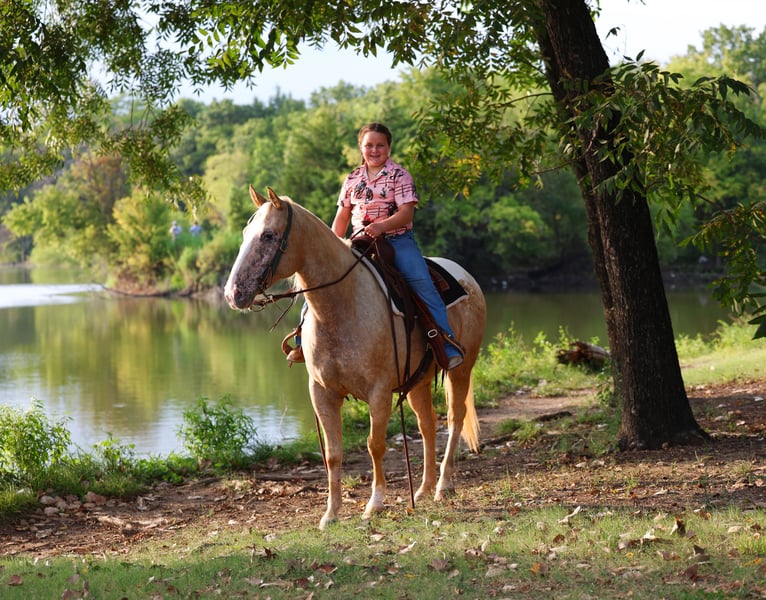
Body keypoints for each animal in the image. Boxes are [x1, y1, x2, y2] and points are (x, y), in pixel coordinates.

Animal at [224, 186, 487, 529]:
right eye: (246, 233)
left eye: (268, 235)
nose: (233, 294)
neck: (342, 304)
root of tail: (467, 275)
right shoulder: (322, 392)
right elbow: (333, 453)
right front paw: (331, 514)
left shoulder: (379, 392)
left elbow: (375, 445)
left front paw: (375, 504)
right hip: (418, 381)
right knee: (427, 424)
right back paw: (424, 488)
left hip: (461, 371)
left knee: (454, 419)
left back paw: (443, 485)